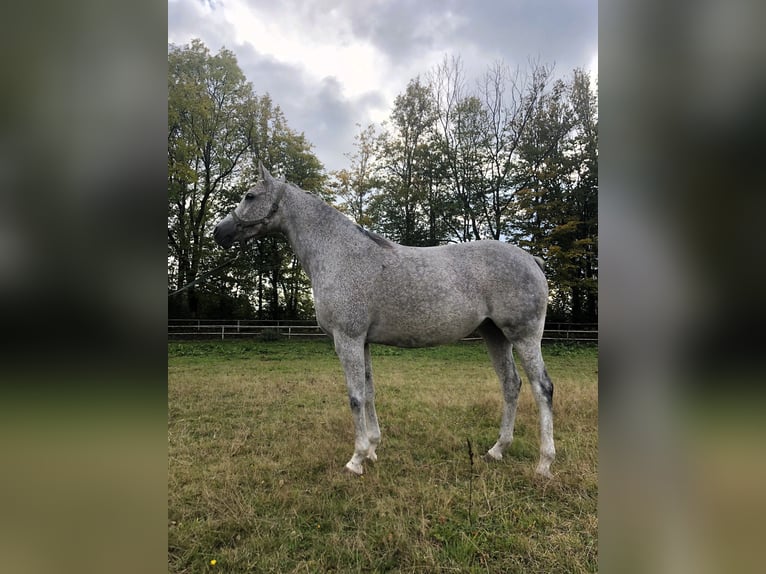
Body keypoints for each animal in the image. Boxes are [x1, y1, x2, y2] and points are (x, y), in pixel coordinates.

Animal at [213, 164, 556, 480]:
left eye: (249, 195)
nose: (219, 233)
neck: (339, 254)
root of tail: (532, 259)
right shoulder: (362, 341)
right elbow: (369, 392)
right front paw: (373, 449)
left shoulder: (347, 339)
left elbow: (355, 397)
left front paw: (355, 460)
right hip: (495, 335)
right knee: (511, 385)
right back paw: (497, 451)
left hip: (524, 336)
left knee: (543, 388)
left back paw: (544, 464)